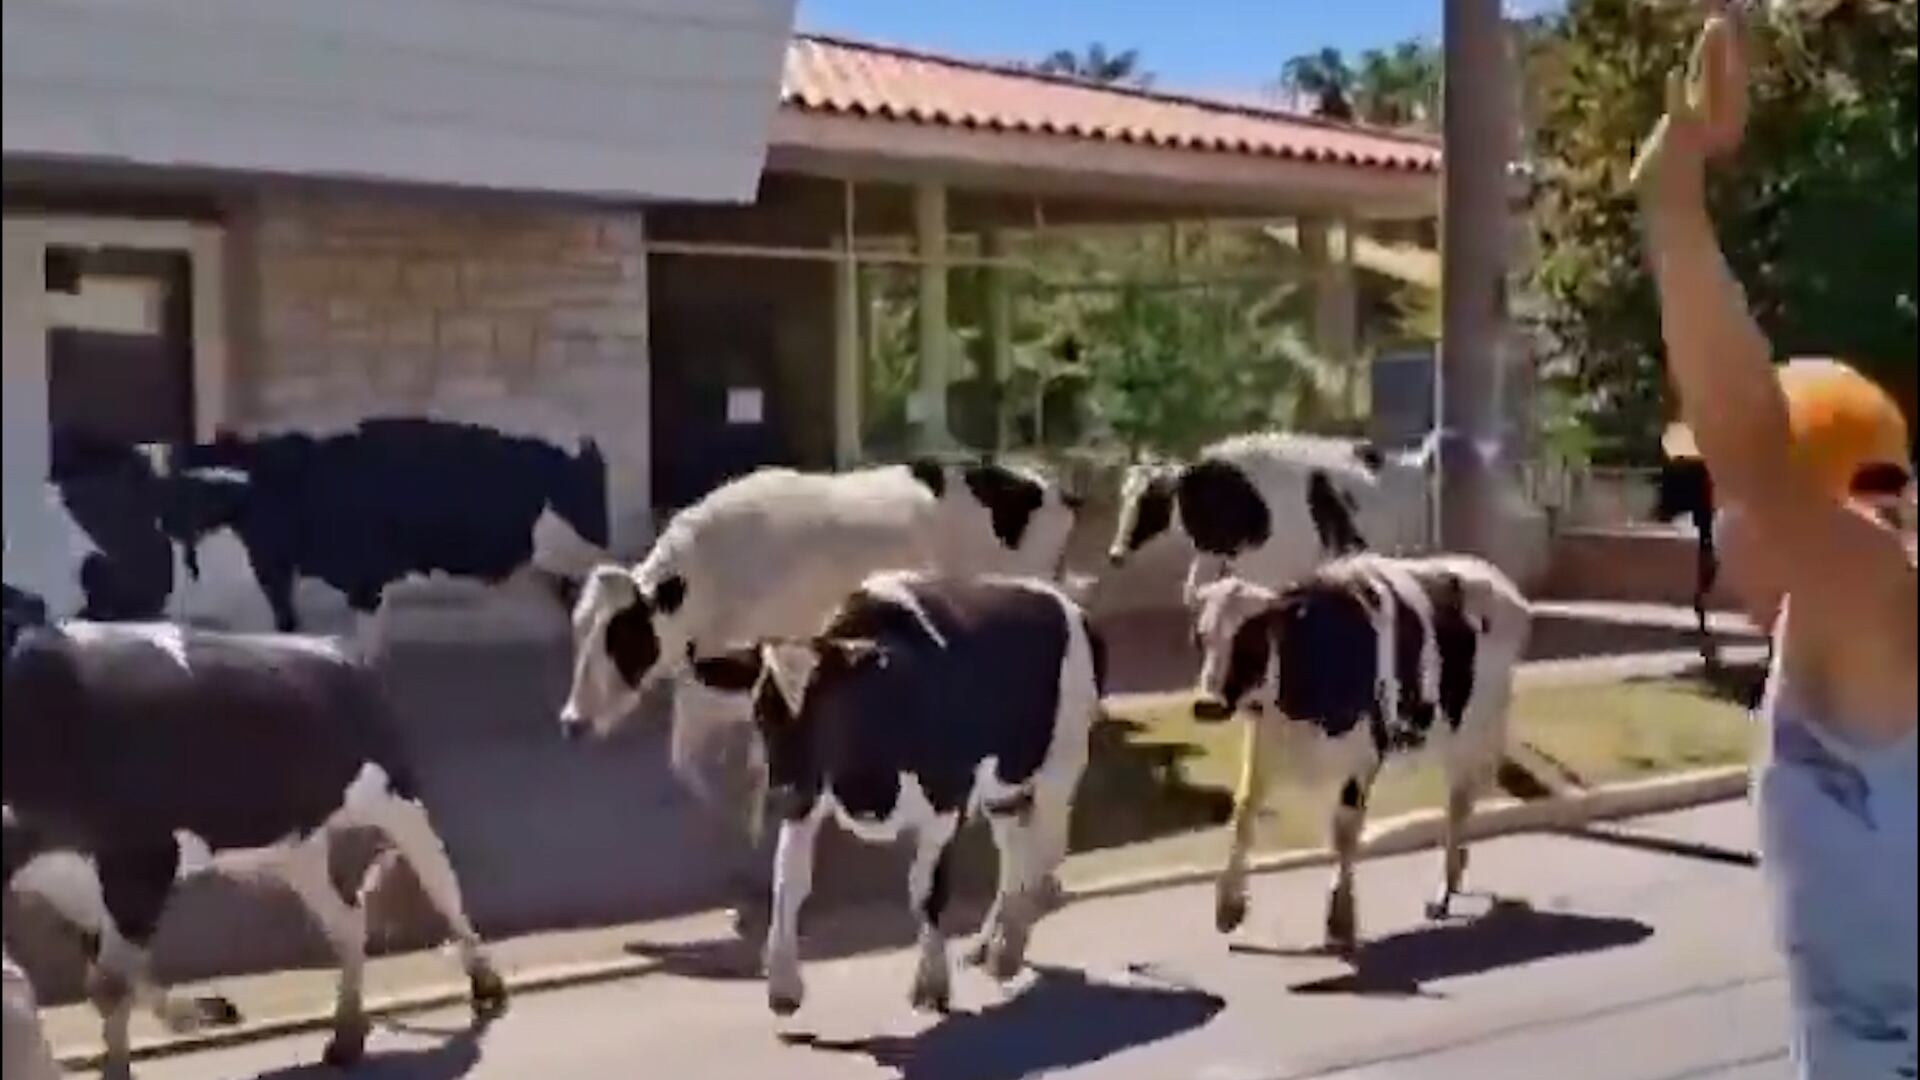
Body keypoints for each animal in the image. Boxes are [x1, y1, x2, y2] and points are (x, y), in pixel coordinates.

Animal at [2, 588, 507, 1080]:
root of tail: (338, 648)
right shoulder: (67, 882)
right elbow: (108, 978)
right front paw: (199, 1013)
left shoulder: (141, 856)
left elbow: (110, 984)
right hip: (296, 845)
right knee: (347, 919)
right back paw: (346, 1035)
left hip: (397, 799)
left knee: (442, 883)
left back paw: (486, 982)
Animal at [557, 458, 1081, 943]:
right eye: (579, 631)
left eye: (622, 639)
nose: (572, 722)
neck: (712, 585)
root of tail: (1042, 484)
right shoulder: (708, 694)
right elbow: (693, 768)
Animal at [674, 572, 1105, 1016]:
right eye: (760, 711)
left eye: (830, 709)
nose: (780, 793)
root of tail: (1068, 603)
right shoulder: (809, 799)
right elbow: (788, 881)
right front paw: (783, 985)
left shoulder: (945, 801)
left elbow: (926, 891)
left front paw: (931, 984)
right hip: (1005, 787)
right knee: (1015, 849)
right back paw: (990, 944)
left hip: (1060, 764)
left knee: (1045, 848)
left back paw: (1009, 947)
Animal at [1187, 553, 1530, 955]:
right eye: (1201, 636)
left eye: (1250, 639)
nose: (1206, 704)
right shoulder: (1264, 743)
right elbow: (1243, 812)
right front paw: (1228, 907)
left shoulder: (1363, 758)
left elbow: (1345, 832)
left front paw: (1340, 921)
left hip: (1475, 736)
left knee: (1459, 808)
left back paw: (1444, 892)